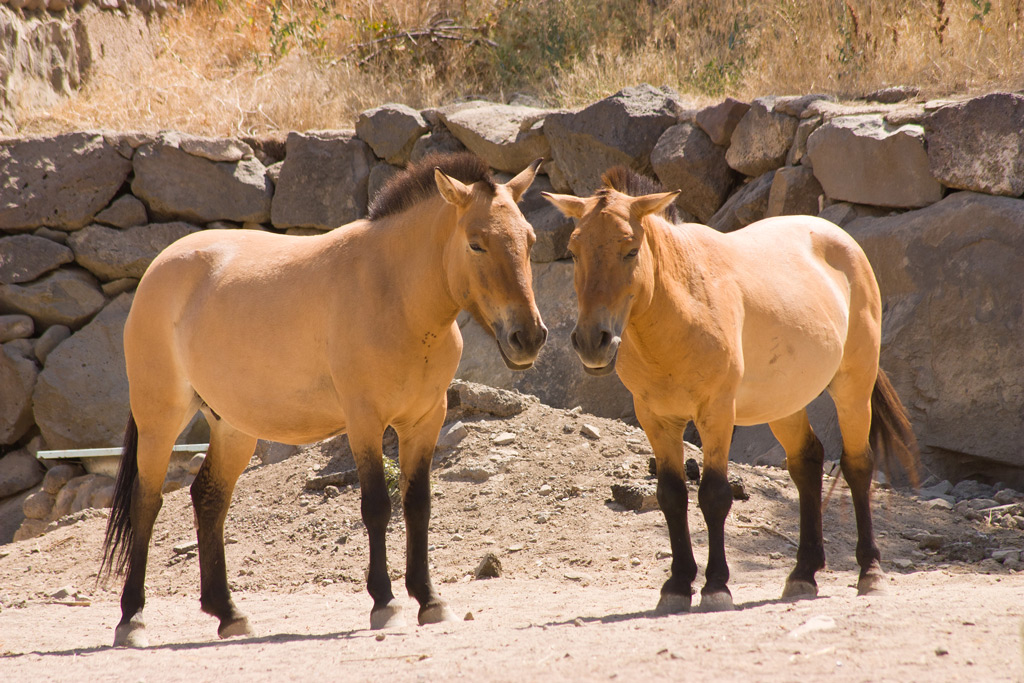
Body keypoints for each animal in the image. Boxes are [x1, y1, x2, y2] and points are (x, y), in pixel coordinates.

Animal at [102, 150, 548, 647]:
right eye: (476, 244)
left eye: (529, 240)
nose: (528, 337)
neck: (394, 292)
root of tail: (158, 269)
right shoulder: (365, 422)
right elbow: (377, 507)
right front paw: (385, 603)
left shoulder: (425, 421)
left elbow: (418, 506)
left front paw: (430, 601)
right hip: (160, 417)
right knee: (146, 502)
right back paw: (132, 620)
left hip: (232, 427)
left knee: (208, 500)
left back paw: (229, 613)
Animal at [548, 166, 917, 614]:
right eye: (574, 250)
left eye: (631, 250)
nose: (592, 341)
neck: (682, 309)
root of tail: (842, 241)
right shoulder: (656, 418)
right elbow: (672, 495)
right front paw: (677, 585)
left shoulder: (716, 413)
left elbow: (714, 495)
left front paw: (716, 586)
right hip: (784, 402)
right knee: (807, 463)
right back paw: (803, 573)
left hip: (853, 385)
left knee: (858, 466)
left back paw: (870, 573)